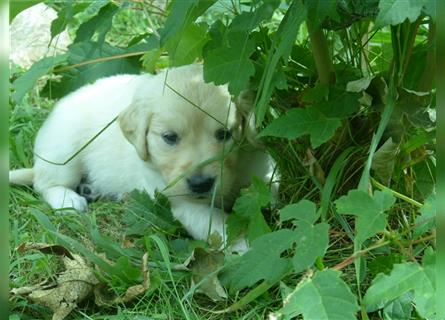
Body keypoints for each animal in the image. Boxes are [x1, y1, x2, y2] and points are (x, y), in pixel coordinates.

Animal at [10, 63, 272, 251]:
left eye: (224, 134)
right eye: (169, 137)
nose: (201, 184)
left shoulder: (260, 166)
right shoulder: (180, 201)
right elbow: (220, 224)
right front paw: (247, 245)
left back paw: (90, 189)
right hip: (65, 150)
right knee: (45, 183)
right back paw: (69, 199)